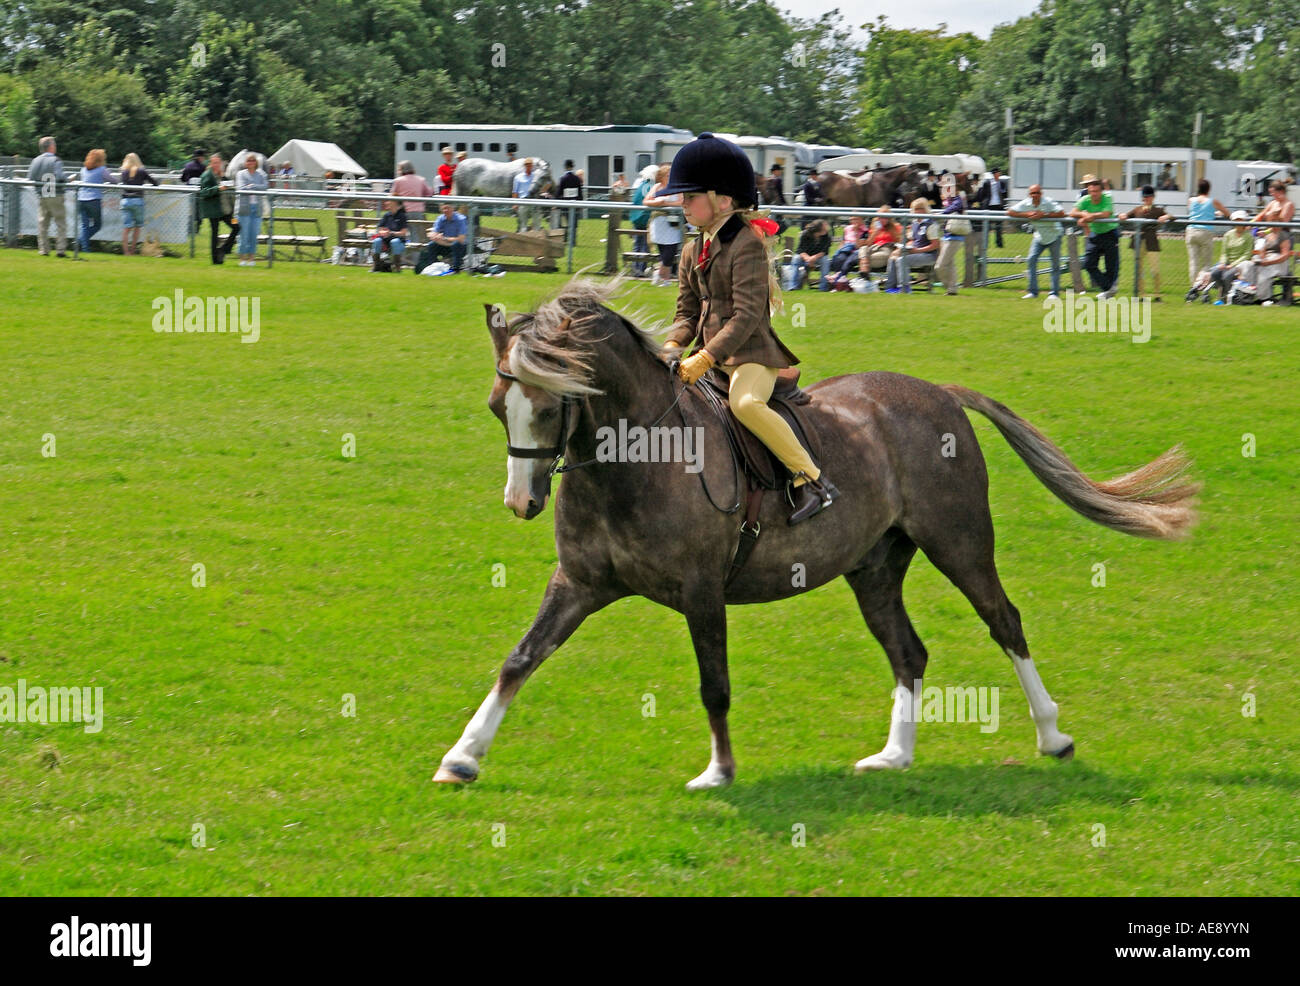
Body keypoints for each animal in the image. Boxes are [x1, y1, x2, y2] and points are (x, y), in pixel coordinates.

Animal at [441, 282, 1201, 790]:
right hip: (874, 567)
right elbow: (519, 659)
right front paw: (462, 757)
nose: (521, 502)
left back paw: (1053, 736)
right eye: (497, 406)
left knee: (1004, 622)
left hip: (959, 543)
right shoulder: (579, 583)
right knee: (908, 651)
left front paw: (719, 772)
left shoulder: (700, 590)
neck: (632, 461)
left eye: (550, 406)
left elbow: (714, 684)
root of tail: (940, 393)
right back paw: (894, 756)